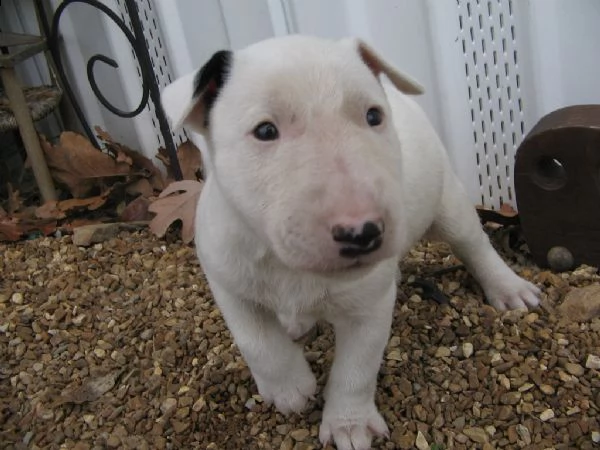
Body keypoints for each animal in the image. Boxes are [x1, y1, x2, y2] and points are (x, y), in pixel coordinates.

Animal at [161, 36, 540, 450]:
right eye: (264, 131)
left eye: (373, 116)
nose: (363, 233)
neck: (287, 262)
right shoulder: (228, 281)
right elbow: (257, 342)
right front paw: (290, 389)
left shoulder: (368, 307)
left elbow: (355, 369)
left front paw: (348, 425)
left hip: (448, 204)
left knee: (475, 245)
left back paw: (510, 289)